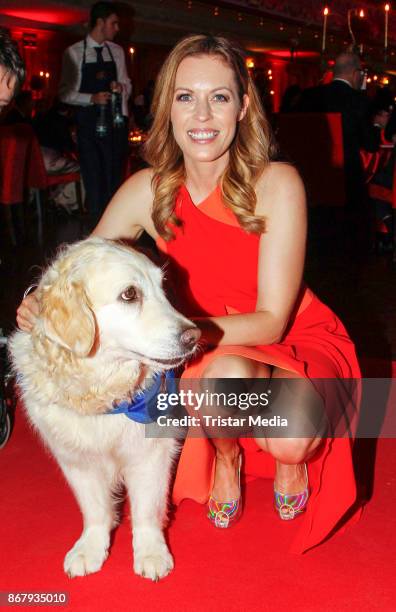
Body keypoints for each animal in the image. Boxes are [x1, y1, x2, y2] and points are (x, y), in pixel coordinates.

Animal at [9, 237, 201, 580]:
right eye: (130, 294)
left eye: (163, 288)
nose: (194, 336)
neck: (101, 394)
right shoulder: (75, 458)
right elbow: (94, 510)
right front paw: (90, 548)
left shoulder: (150, 452)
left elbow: (146, 509)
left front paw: (151, 552)